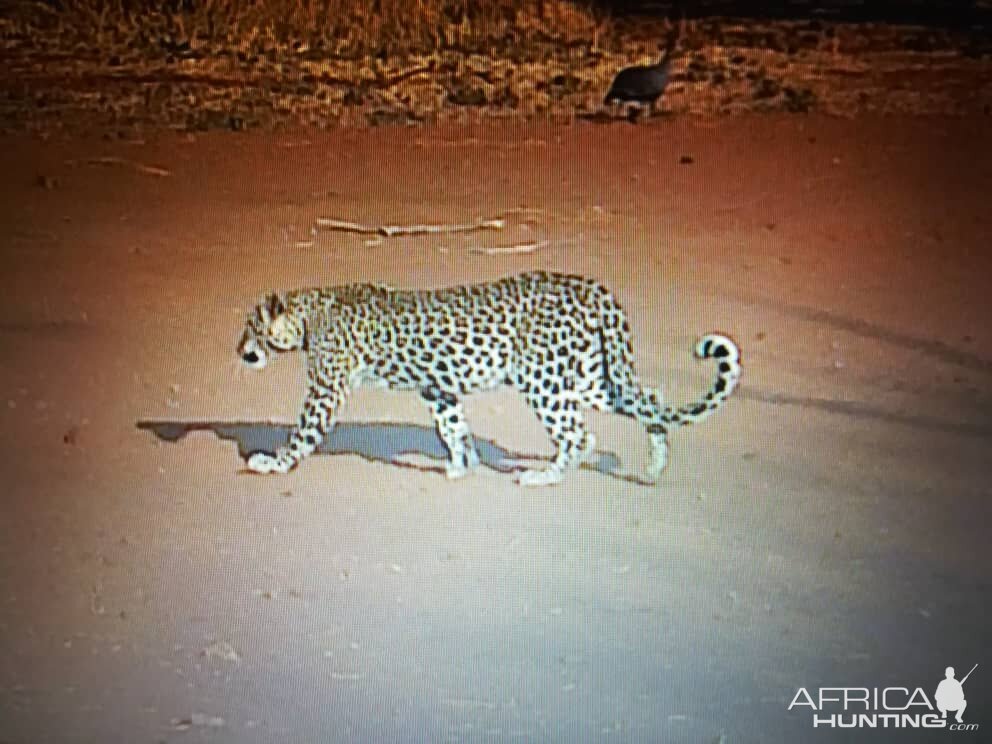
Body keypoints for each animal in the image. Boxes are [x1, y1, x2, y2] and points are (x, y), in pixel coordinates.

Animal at [236, 270, 740, 486]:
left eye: (251, 327)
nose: (239, 351)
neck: (310, 312)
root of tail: (591, 286)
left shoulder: (325, 390)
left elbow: (301, 434)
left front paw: (271, 463)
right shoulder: (438, 389)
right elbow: (454, 428)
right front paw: (463, 466)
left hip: (543, 380)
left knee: (579, 435)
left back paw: (545, 476)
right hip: (589, 373)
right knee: (650, 399)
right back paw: (655, 467)